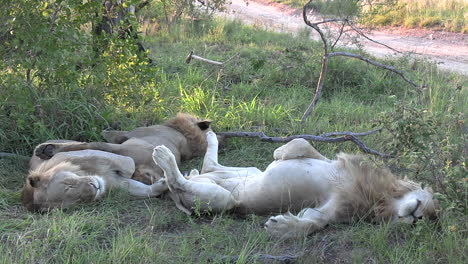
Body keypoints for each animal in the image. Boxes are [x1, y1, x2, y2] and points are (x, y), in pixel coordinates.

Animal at [151, 132, 438, 239]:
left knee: (181, 181)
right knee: (209, 167)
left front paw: (282, 225)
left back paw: (165, 160)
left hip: (225, 200)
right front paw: (279, 153)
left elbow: (313, 223)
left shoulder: (328, 211)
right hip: (246, 174)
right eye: (426, 204)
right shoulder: (329, 161)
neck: (381, 197)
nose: (418, 217)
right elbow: (301, 143)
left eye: (428, 221)